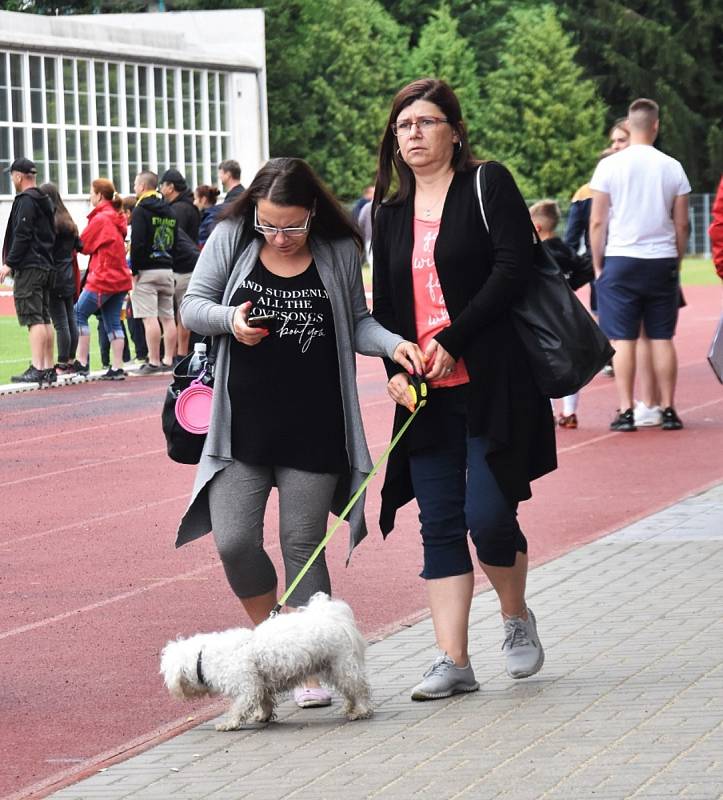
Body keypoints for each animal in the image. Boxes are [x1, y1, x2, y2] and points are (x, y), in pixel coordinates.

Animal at [159, 592, 374, 732]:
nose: (170, 690)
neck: (203, 658)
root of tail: (332, 618)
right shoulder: (259, 683)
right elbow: (265, 701)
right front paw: (264, 715)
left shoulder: (247, 686)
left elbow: (239, 708)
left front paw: (228, 724)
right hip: (332, 667)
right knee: (349, 690)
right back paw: (349, 707)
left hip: (342, 665)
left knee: (359, 689)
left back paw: (360, 710)